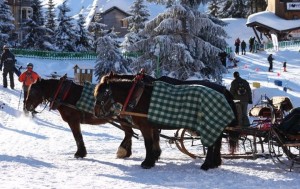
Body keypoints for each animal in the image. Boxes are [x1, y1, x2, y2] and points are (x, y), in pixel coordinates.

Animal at [95, 72, 238, 170]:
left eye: (103, 94)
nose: (96, 113)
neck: (138, 95)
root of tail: (223, 91)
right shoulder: (153, 124)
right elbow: (155, 139)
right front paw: (154, 157)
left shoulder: (145, 126)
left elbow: (147, 142)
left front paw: (147, 162)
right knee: (217, 142)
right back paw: (215, 162)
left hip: (208, 124)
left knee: (212, 143)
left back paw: (207, 164)